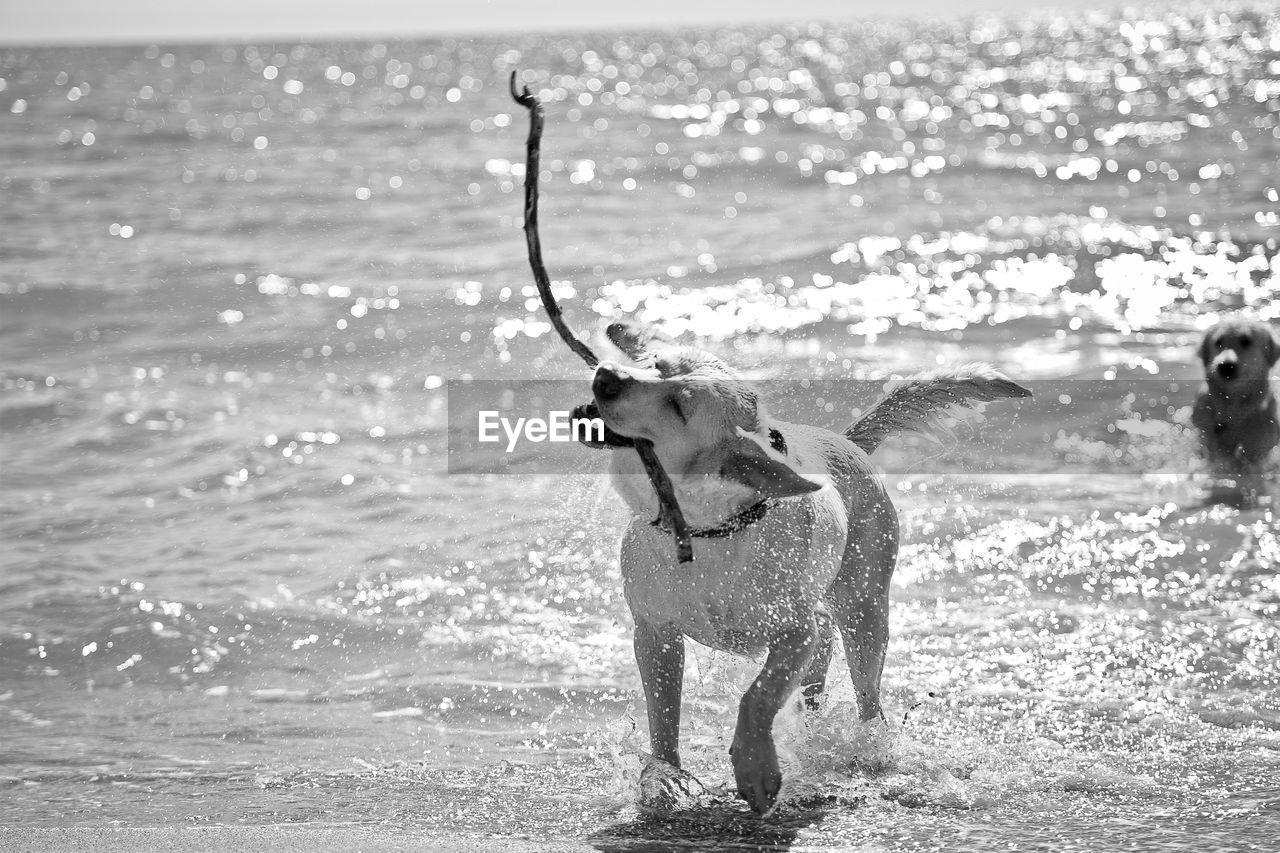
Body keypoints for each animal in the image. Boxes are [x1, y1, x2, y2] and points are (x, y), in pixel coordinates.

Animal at [1187, 320, 1280, 504]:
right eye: (1218, 342)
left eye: (1246, 341)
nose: (1225, 365)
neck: (1233, 408)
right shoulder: (1207, 441)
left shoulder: (1257, 450)